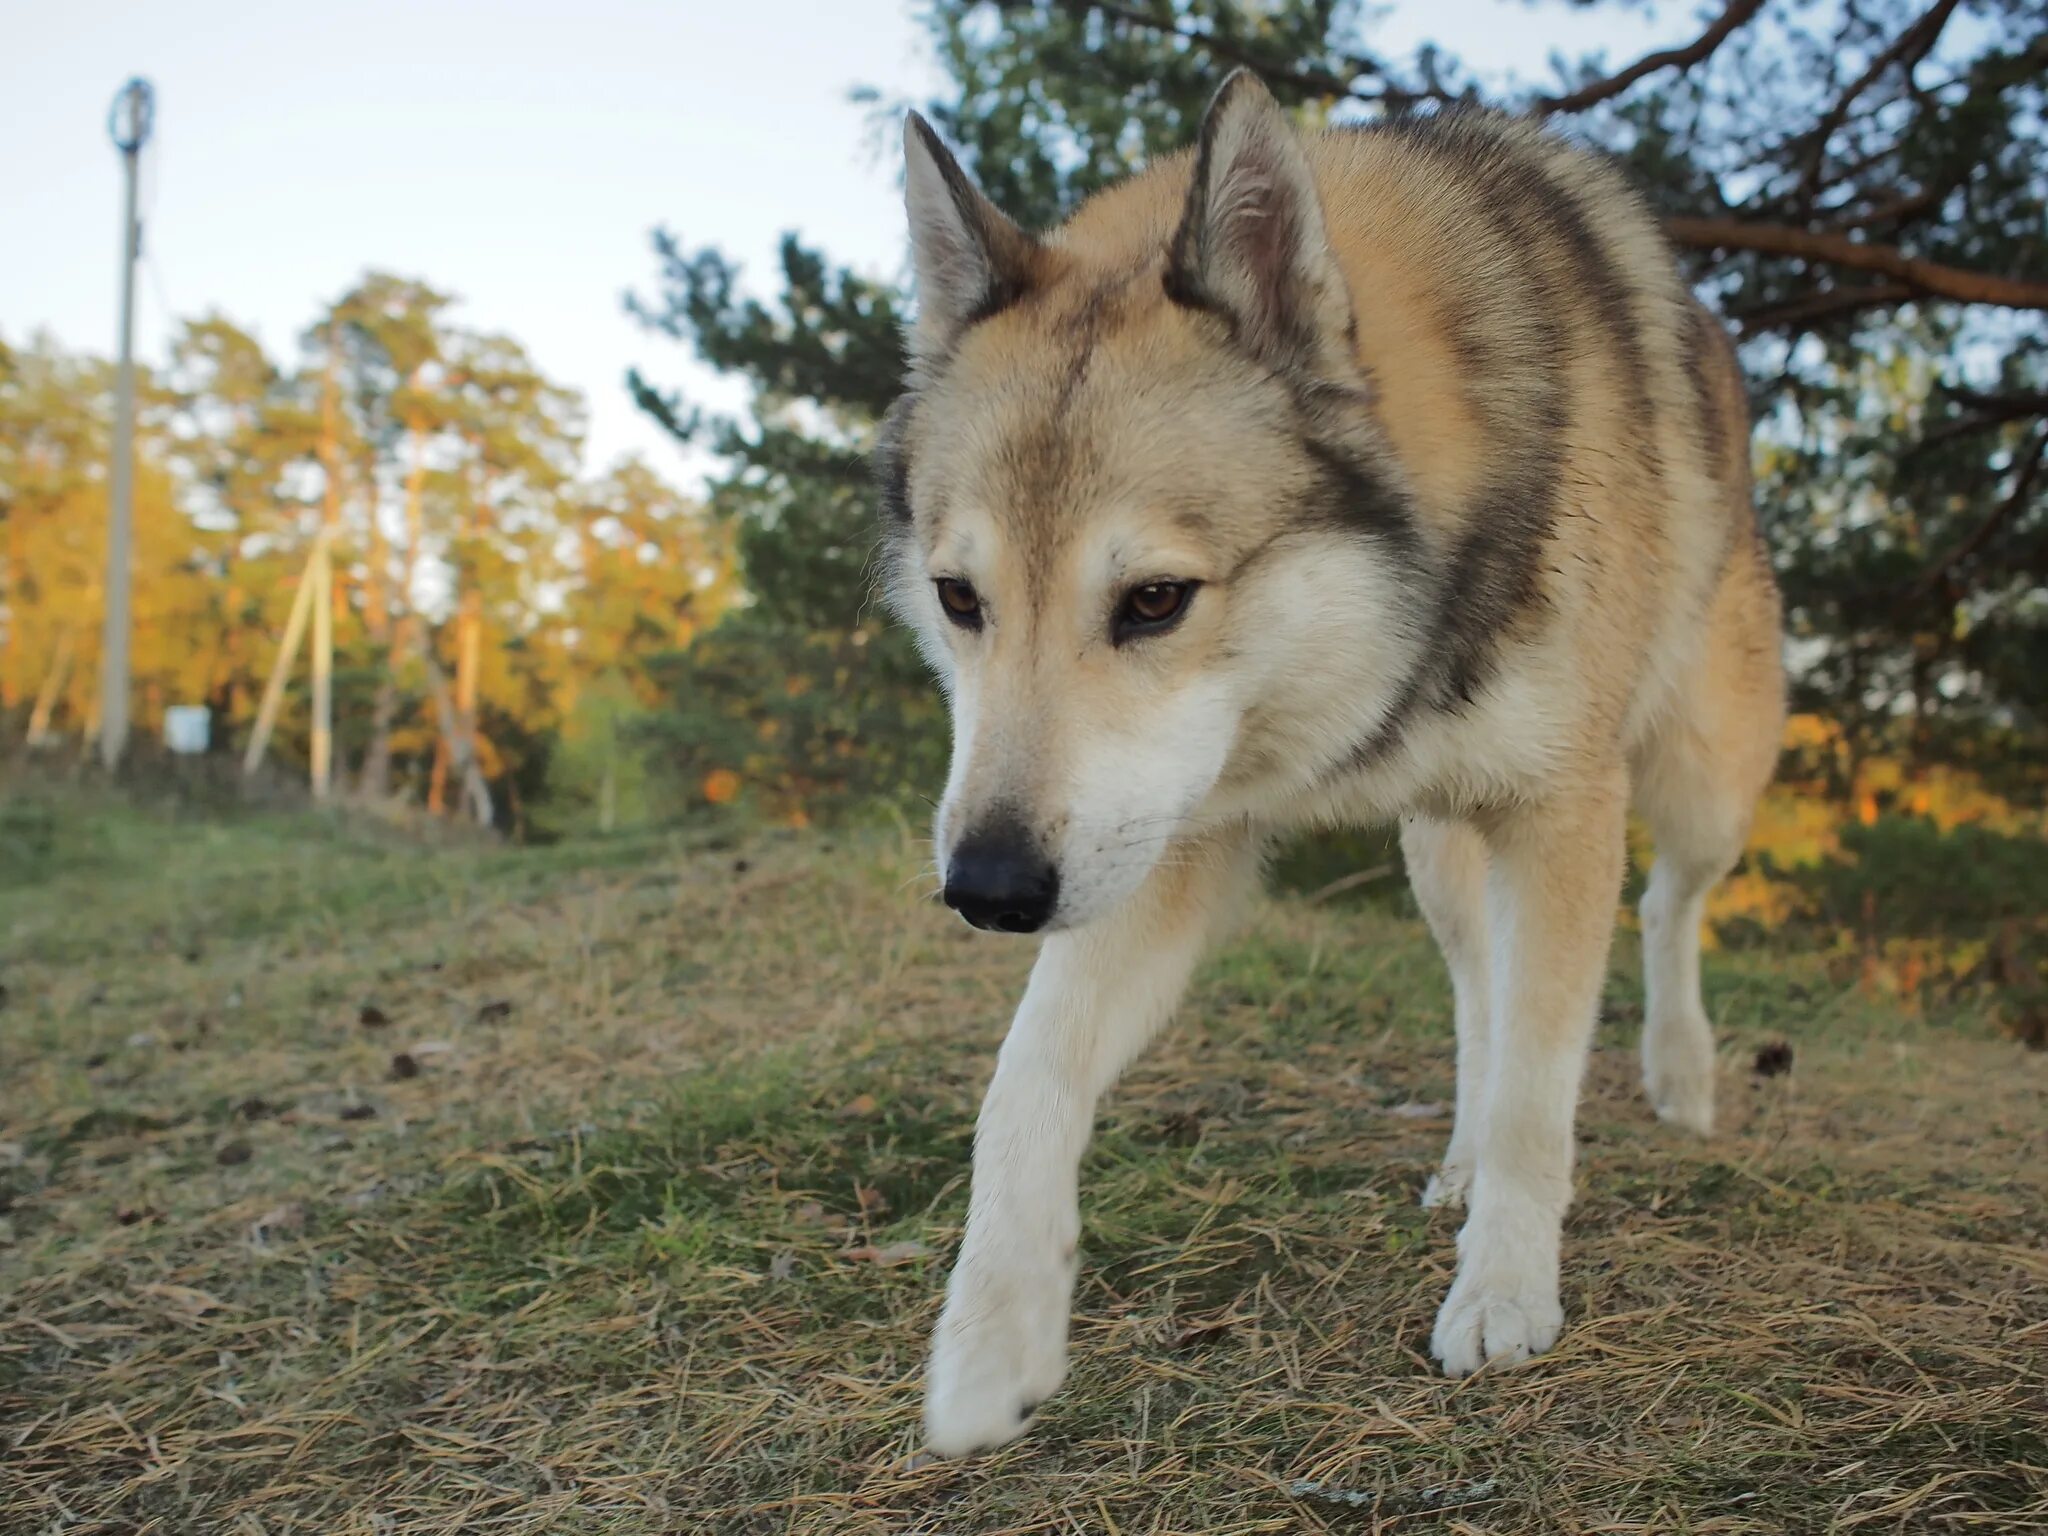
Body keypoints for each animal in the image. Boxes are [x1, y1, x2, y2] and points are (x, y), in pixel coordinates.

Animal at [872, 72, 1785, 1458]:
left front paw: (1503, 1292)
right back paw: (1461, 1160)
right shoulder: (1167, 843)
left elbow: (1538, 1091)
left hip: (1698, 780)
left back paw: (1677, 1078)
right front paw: (990, 1342)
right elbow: (1021, 1081)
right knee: (1479, 996)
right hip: (1438, 859)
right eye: (957, 599)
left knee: (1664, 907)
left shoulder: (1562, 812)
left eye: (1153, 600)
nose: (985, 893)